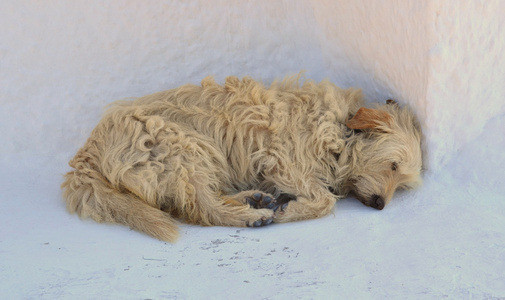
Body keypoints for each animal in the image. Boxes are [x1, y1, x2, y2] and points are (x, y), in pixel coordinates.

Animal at [62, 75, 422, 241]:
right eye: (392, 166)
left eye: (402, 185)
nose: (380, 204)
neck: (337, 126)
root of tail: (86, 153)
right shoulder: (280, 157)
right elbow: (324, 200)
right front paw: (293, 211)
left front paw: (285, 203)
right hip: (183, 146)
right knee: (201, 209)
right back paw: (252, 215)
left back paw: (254, 200)